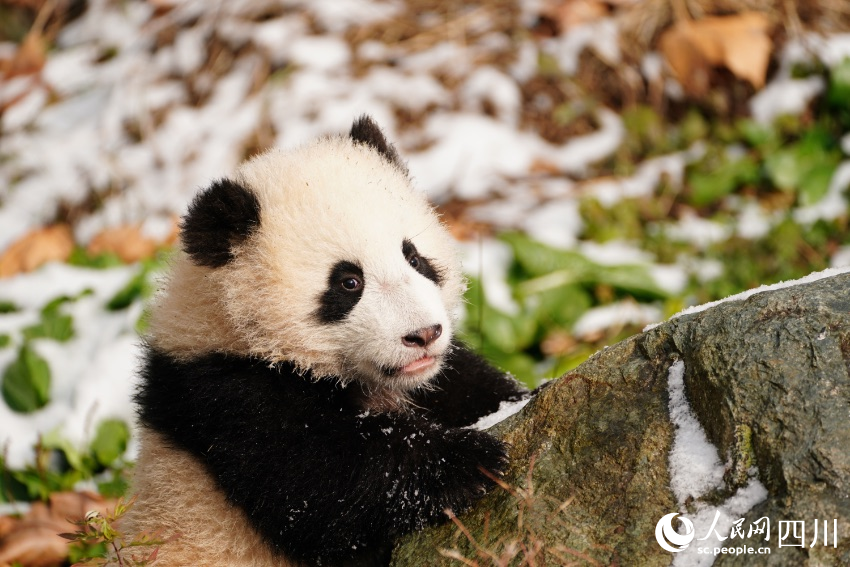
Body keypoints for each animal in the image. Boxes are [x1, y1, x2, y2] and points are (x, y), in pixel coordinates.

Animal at [123, 116, 531, 567]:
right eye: (349, 282)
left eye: (415, 258)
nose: (424, 334)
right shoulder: (227, 396)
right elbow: (323, 482)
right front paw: (470, 461)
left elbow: (466, 384)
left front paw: (516, 402)